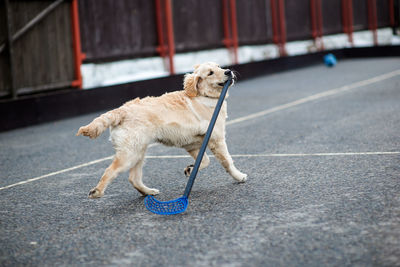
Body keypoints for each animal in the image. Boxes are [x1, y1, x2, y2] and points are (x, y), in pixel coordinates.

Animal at [76, 62, 247, 199]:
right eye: (210, 73)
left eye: (219, 66)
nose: (228, 71)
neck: (204, 96)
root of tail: (121, 111)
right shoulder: (217, 140)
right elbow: (227, 162)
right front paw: (239, 177)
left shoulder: (193, 145)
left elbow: (204, 161)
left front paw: (190, 169)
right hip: (130, 154)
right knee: (110, 171)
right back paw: (97, 192)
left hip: (139, 152)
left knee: (133, 179)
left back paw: (149, 192)